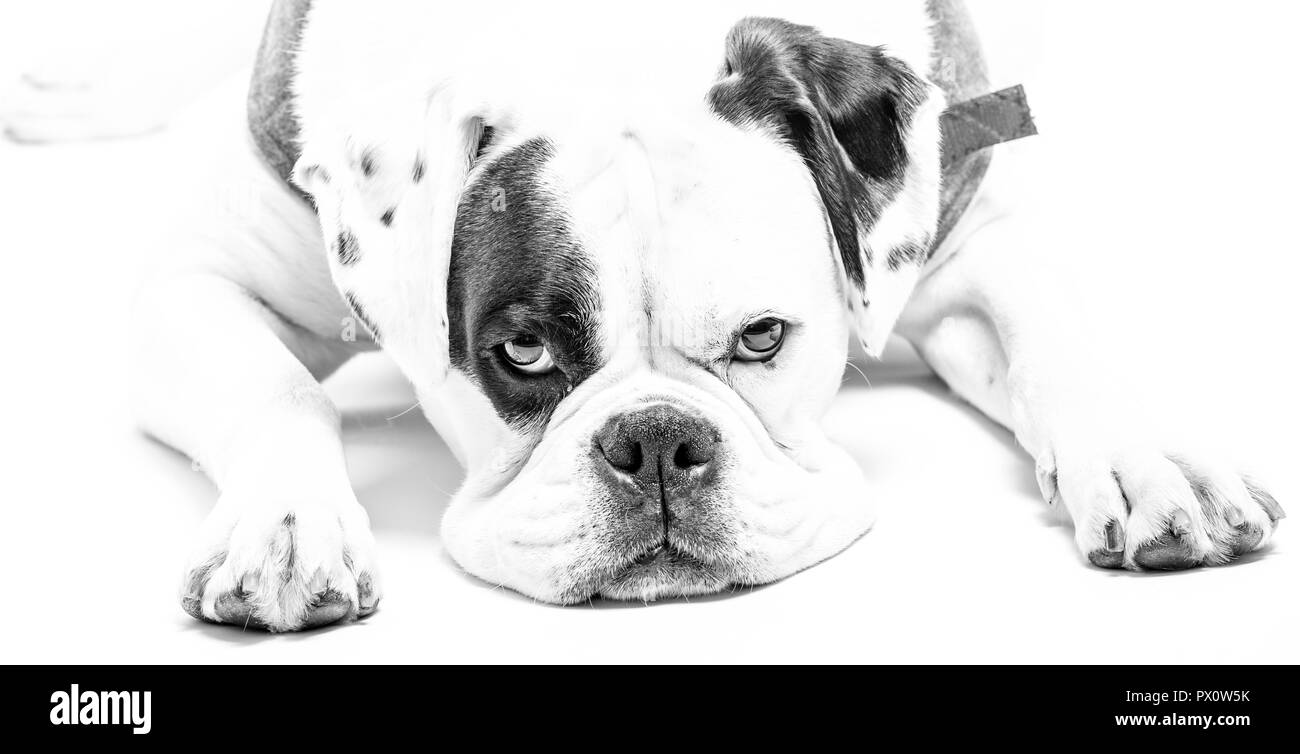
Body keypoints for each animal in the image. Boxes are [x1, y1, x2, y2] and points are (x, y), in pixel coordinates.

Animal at [129, 0, 1279, 629]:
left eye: (763, 338)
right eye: (522, 350)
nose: (654, 443)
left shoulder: (970, 218)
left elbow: (1062, 338)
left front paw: (1149, 458)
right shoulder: (184, 276)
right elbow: (277, 392)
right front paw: (285, 529)